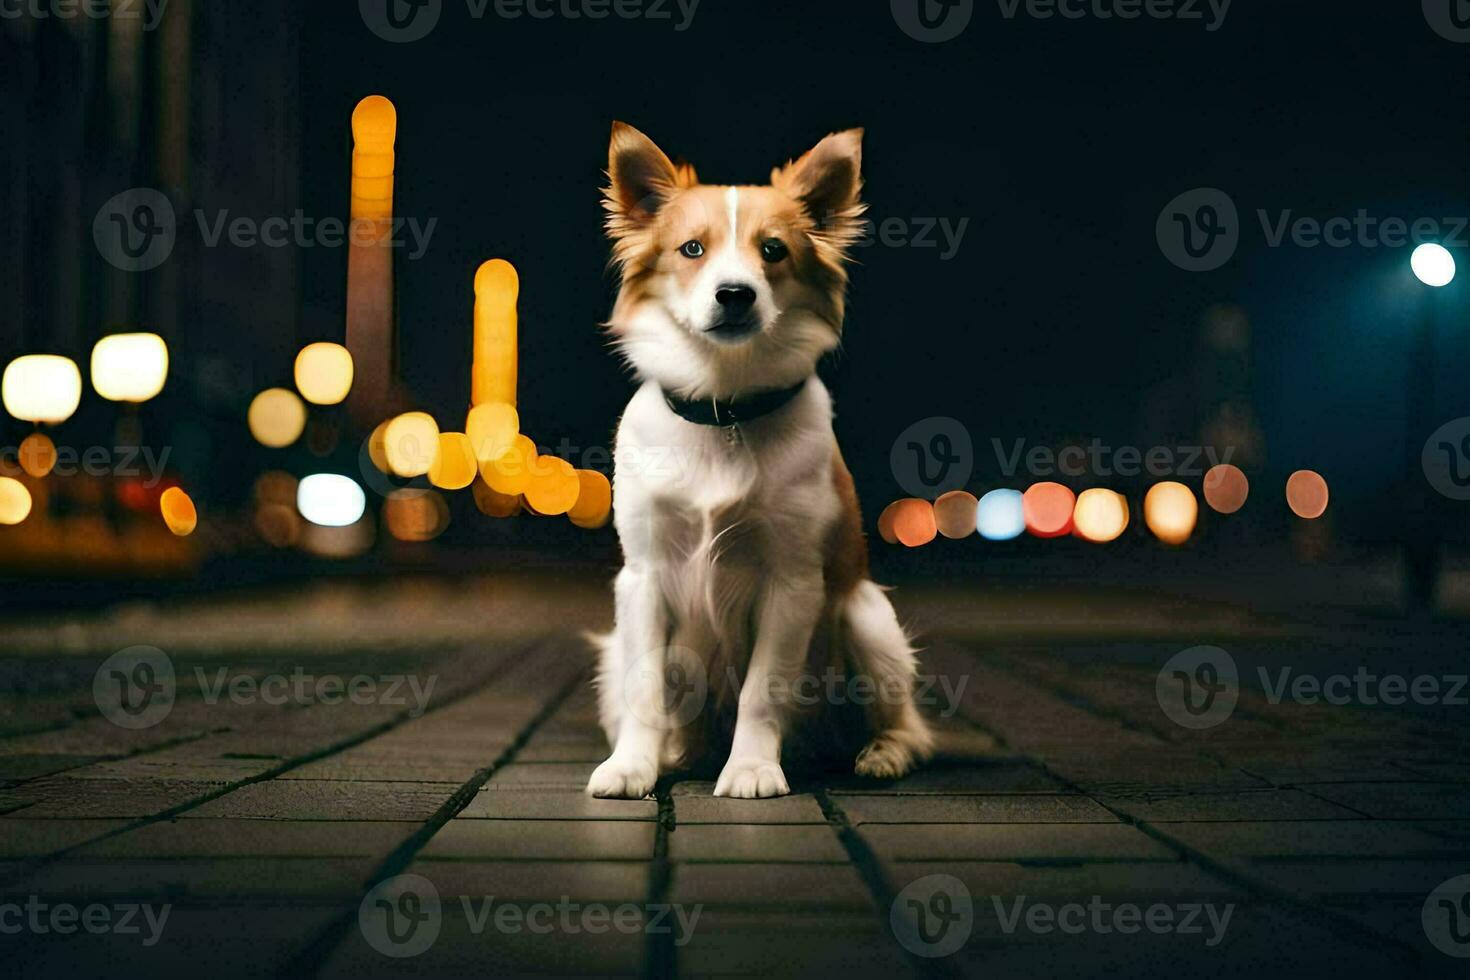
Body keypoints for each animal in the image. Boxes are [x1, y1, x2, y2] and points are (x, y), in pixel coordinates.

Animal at [585, 120, 929, 799]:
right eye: (691, 249)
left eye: (773, 251)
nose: (735, 294)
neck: (726, 408)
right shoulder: (643, 579)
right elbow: (644, 689)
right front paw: (631, 767)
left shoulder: (792, 583)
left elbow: (763, 690)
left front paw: (750, 768)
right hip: (614, 650)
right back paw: (676, 754)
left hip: (867, 619)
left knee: (909, 726)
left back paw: (881, 753)